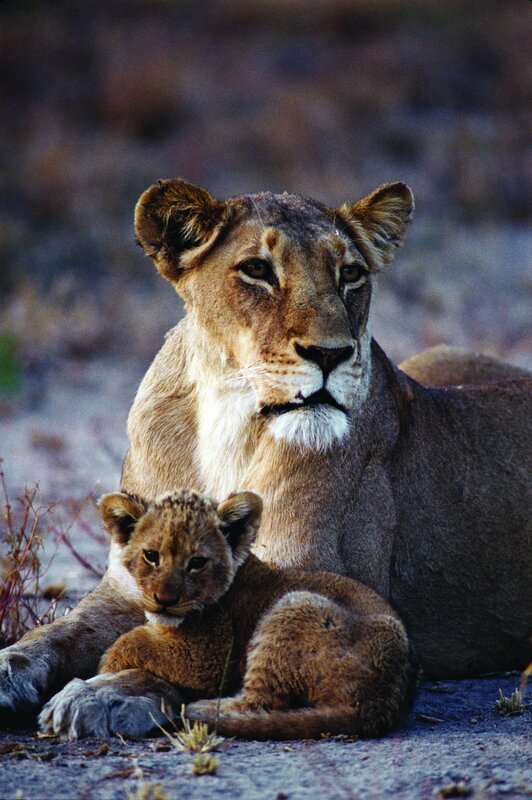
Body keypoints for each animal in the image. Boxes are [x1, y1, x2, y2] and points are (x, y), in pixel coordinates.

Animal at [92, 488, 414, 740]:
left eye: (197, 562)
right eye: (151, 556)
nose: (165, 601)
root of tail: (378, 704)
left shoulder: (207, 660)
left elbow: (132, 640)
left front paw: (107, 666)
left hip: (292, 605)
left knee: (260, 702)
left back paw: (203, 710)